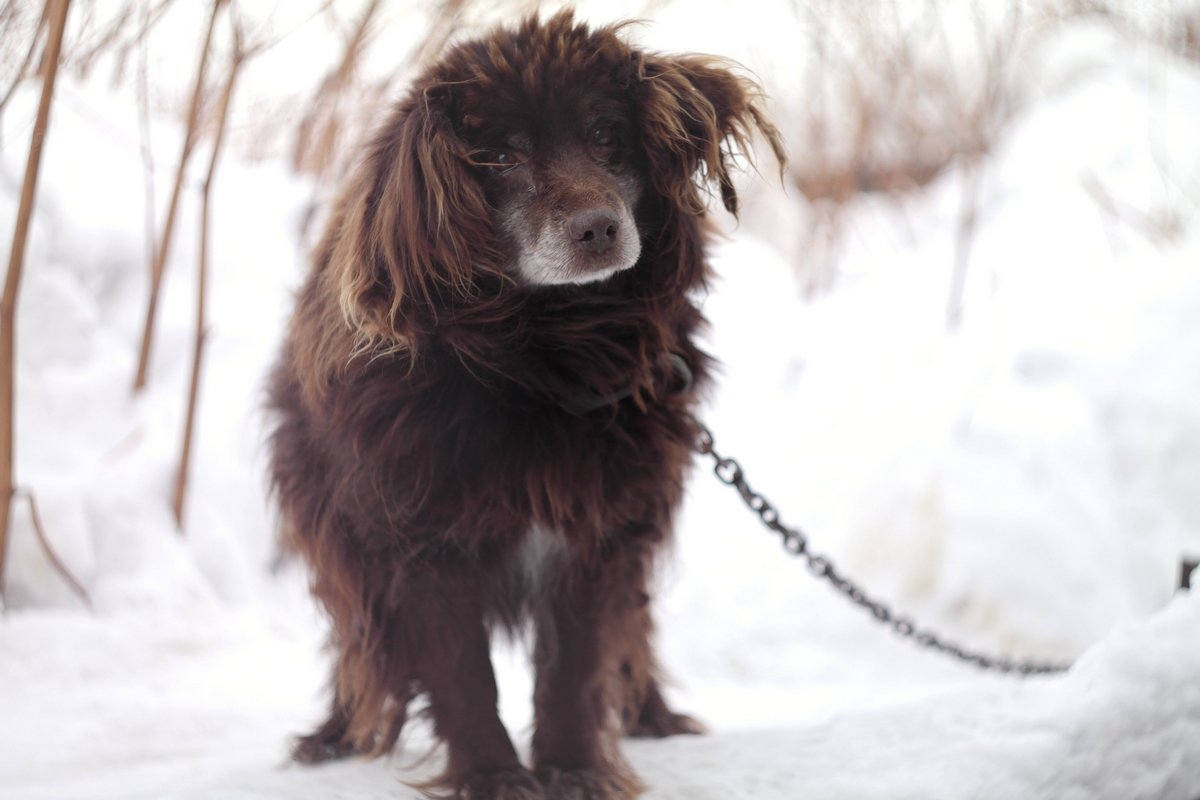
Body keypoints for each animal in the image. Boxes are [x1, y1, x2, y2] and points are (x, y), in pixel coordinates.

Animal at [267, 10, 782, 800]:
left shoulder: (597, 529)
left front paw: (574, 769)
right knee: (360, 645)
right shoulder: (417, 540)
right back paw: (335, 734)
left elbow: (577, 665)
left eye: (605, 136)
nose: (599, 228)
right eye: (503, 156)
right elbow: (459, 672)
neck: (541, 359)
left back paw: (653, 716)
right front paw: (493, 776)